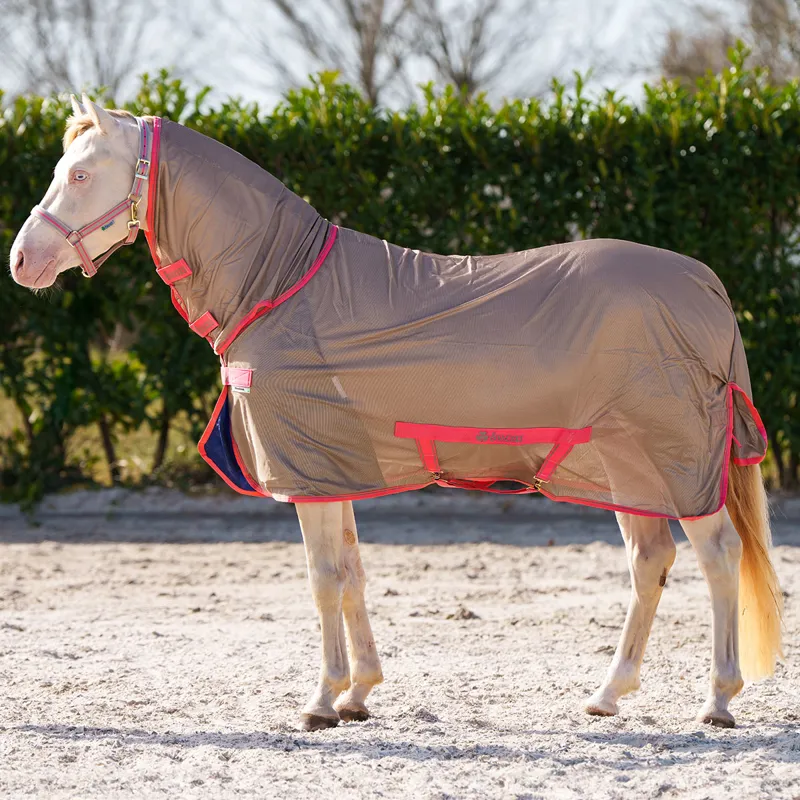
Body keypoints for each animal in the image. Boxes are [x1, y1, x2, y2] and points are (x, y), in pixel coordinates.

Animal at [9, 94, 783, 731]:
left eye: (81, 176)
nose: (22, 262)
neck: (283, 284)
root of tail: (704, 283)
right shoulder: (333, 467)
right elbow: (352, 573)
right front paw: (359, 693)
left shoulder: (308, 469)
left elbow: (323, 579)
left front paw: (321, 700)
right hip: (625, 463)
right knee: (650, 560)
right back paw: (607, 693)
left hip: (673, 458)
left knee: (718, 556)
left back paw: (717, 700)